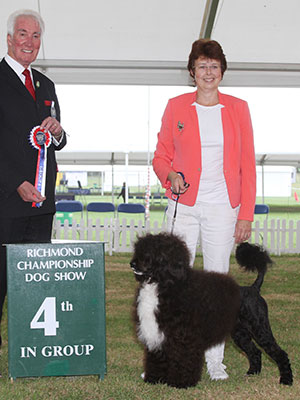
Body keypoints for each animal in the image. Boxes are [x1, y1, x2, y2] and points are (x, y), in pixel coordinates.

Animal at [131, 231, 292, 388]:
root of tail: (254, 288)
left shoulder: (183, 338)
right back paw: (252, 372)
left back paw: (286, 380)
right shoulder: (156, 335)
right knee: (255, 352)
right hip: (240, 333)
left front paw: (181, 383)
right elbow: (157, 359)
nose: (132, 264)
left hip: (260, 328)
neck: (163, 285)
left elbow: (182, 360)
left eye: (150, 253)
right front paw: (154, 379)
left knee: (280, 353)